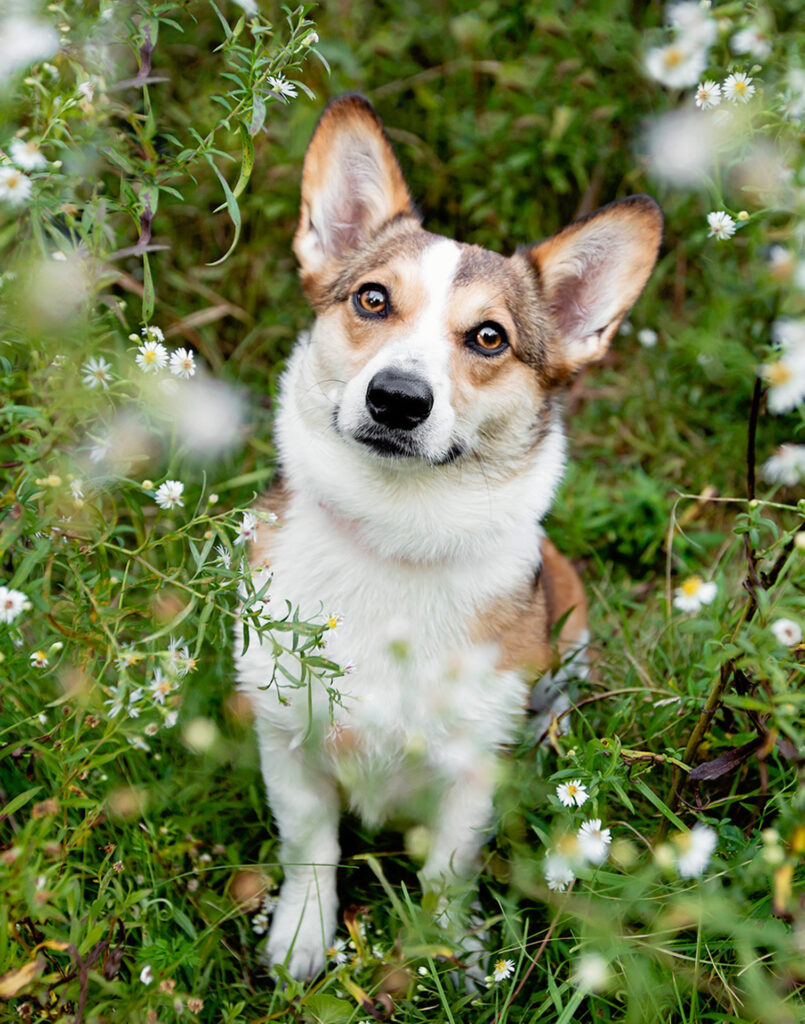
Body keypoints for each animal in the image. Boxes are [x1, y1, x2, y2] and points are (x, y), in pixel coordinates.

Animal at [232, 94, 659, 974]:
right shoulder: (287, 741)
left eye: (488, 337)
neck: (394, 536)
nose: (398, 399)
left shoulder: (471, 773)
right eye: (371, 299)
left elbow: (447, 872)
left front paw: (442, 955)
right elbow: (310, 846)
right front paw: (302, 936)